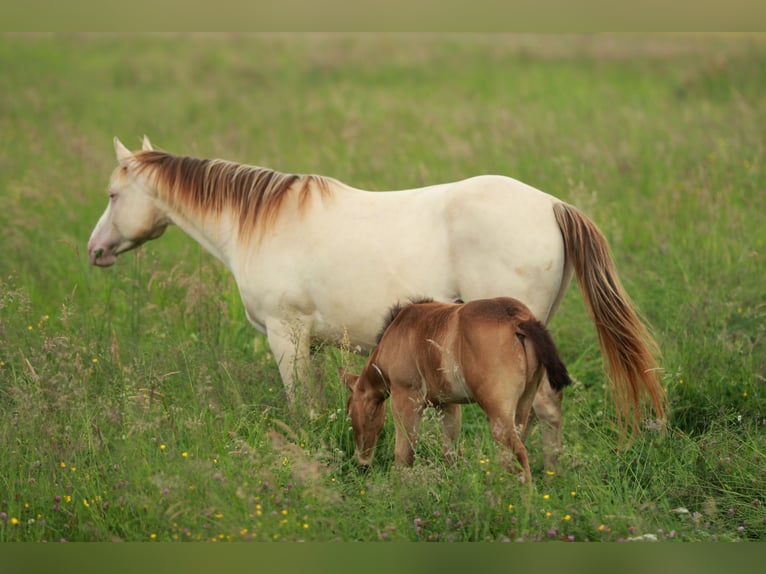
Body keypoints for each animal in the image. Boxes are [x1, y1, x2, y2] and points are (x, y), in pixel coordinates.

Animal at [340, 297, 572, 482]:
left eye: (351, 411)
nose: (362, 462)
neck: (397, 330)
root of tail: (519, 319)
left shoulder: (405, 398)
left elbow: (404, 452)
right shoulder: (448, 405)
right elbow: (450, 451)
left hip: (498, 414)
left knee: (519, 453)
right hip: (522, 408)